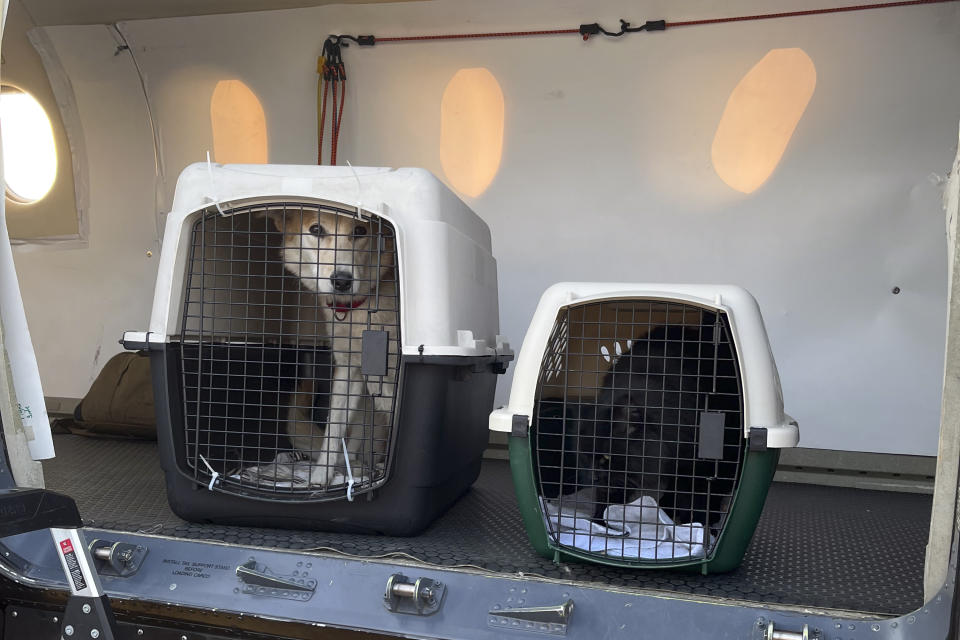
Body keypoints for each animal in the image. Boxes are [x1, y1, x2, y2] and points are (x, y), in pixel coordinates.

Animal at [266, 208, 398, 488]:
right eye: (316, 230)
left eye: (360, 231)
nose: (342, 281)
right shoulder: (349, 371)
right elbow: (333, 429)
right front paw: (319, 478)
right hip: (367, 409)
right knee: (356, 446)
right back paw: (358, 470)